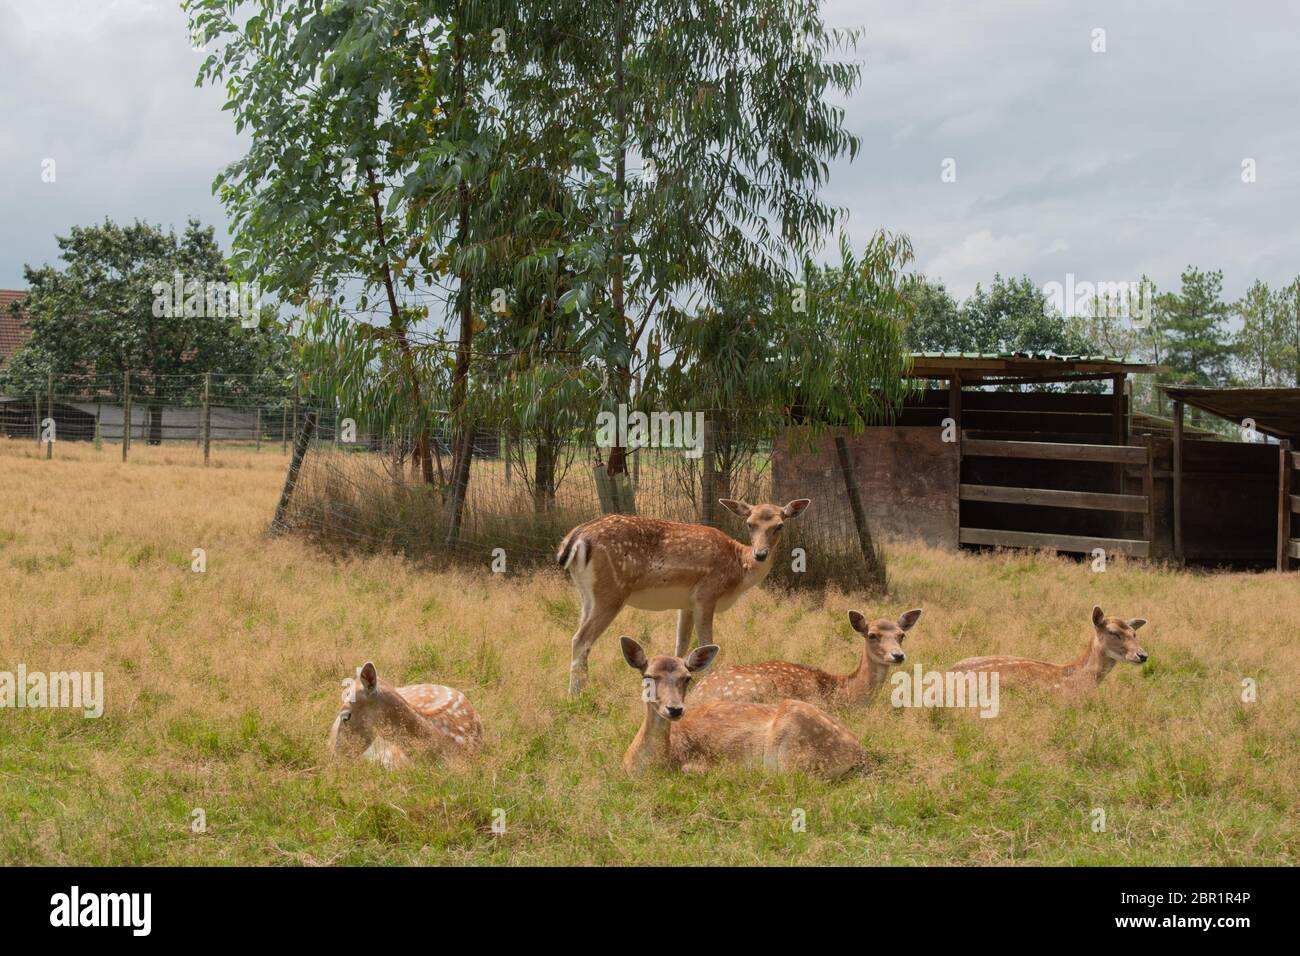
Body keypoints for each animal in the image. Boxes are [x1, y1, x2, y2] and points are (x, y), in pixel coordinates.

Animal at [553, 502, 806, 697]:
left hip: (587, 594)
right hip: (611, 592)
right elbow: (706, 643)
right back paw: (576, 695)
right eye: (749, 523)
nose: (760, 554)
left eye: (779, 525)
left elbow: (681, 645)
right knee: (581, 639)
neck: (739, 569)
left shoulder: (686, 604)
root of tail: (575, 539)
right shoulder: (706, 594)